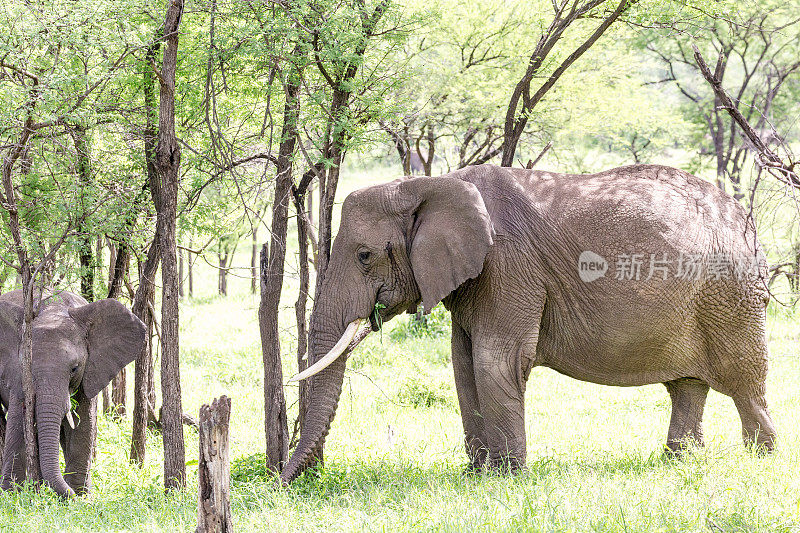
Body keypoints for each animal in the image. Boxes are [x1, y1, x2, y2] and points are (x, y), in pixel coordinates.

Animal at [0, 288, 145, 496]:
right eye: (25, 367)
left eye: (75, 368)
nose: (71, 495)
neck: (53, 309)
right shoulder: (17, 376)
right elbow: (18, 422)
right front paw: (11, 495)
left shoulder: (91, 370)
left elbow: (83, 425)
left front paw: (80, 495)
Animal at [280, 163, 776, 482]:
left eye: (365, 255)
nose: (283, 483)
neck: (430, 184)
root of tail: (746, 218)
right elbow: (464, 365)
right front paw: (476, 474)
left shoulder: (507, 264)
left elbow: (495, 361)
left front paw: (507, 479)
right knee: (688, 386)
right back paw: (680, 463)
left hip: (732, 294)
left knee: (745, 385)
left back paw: (760, 461)